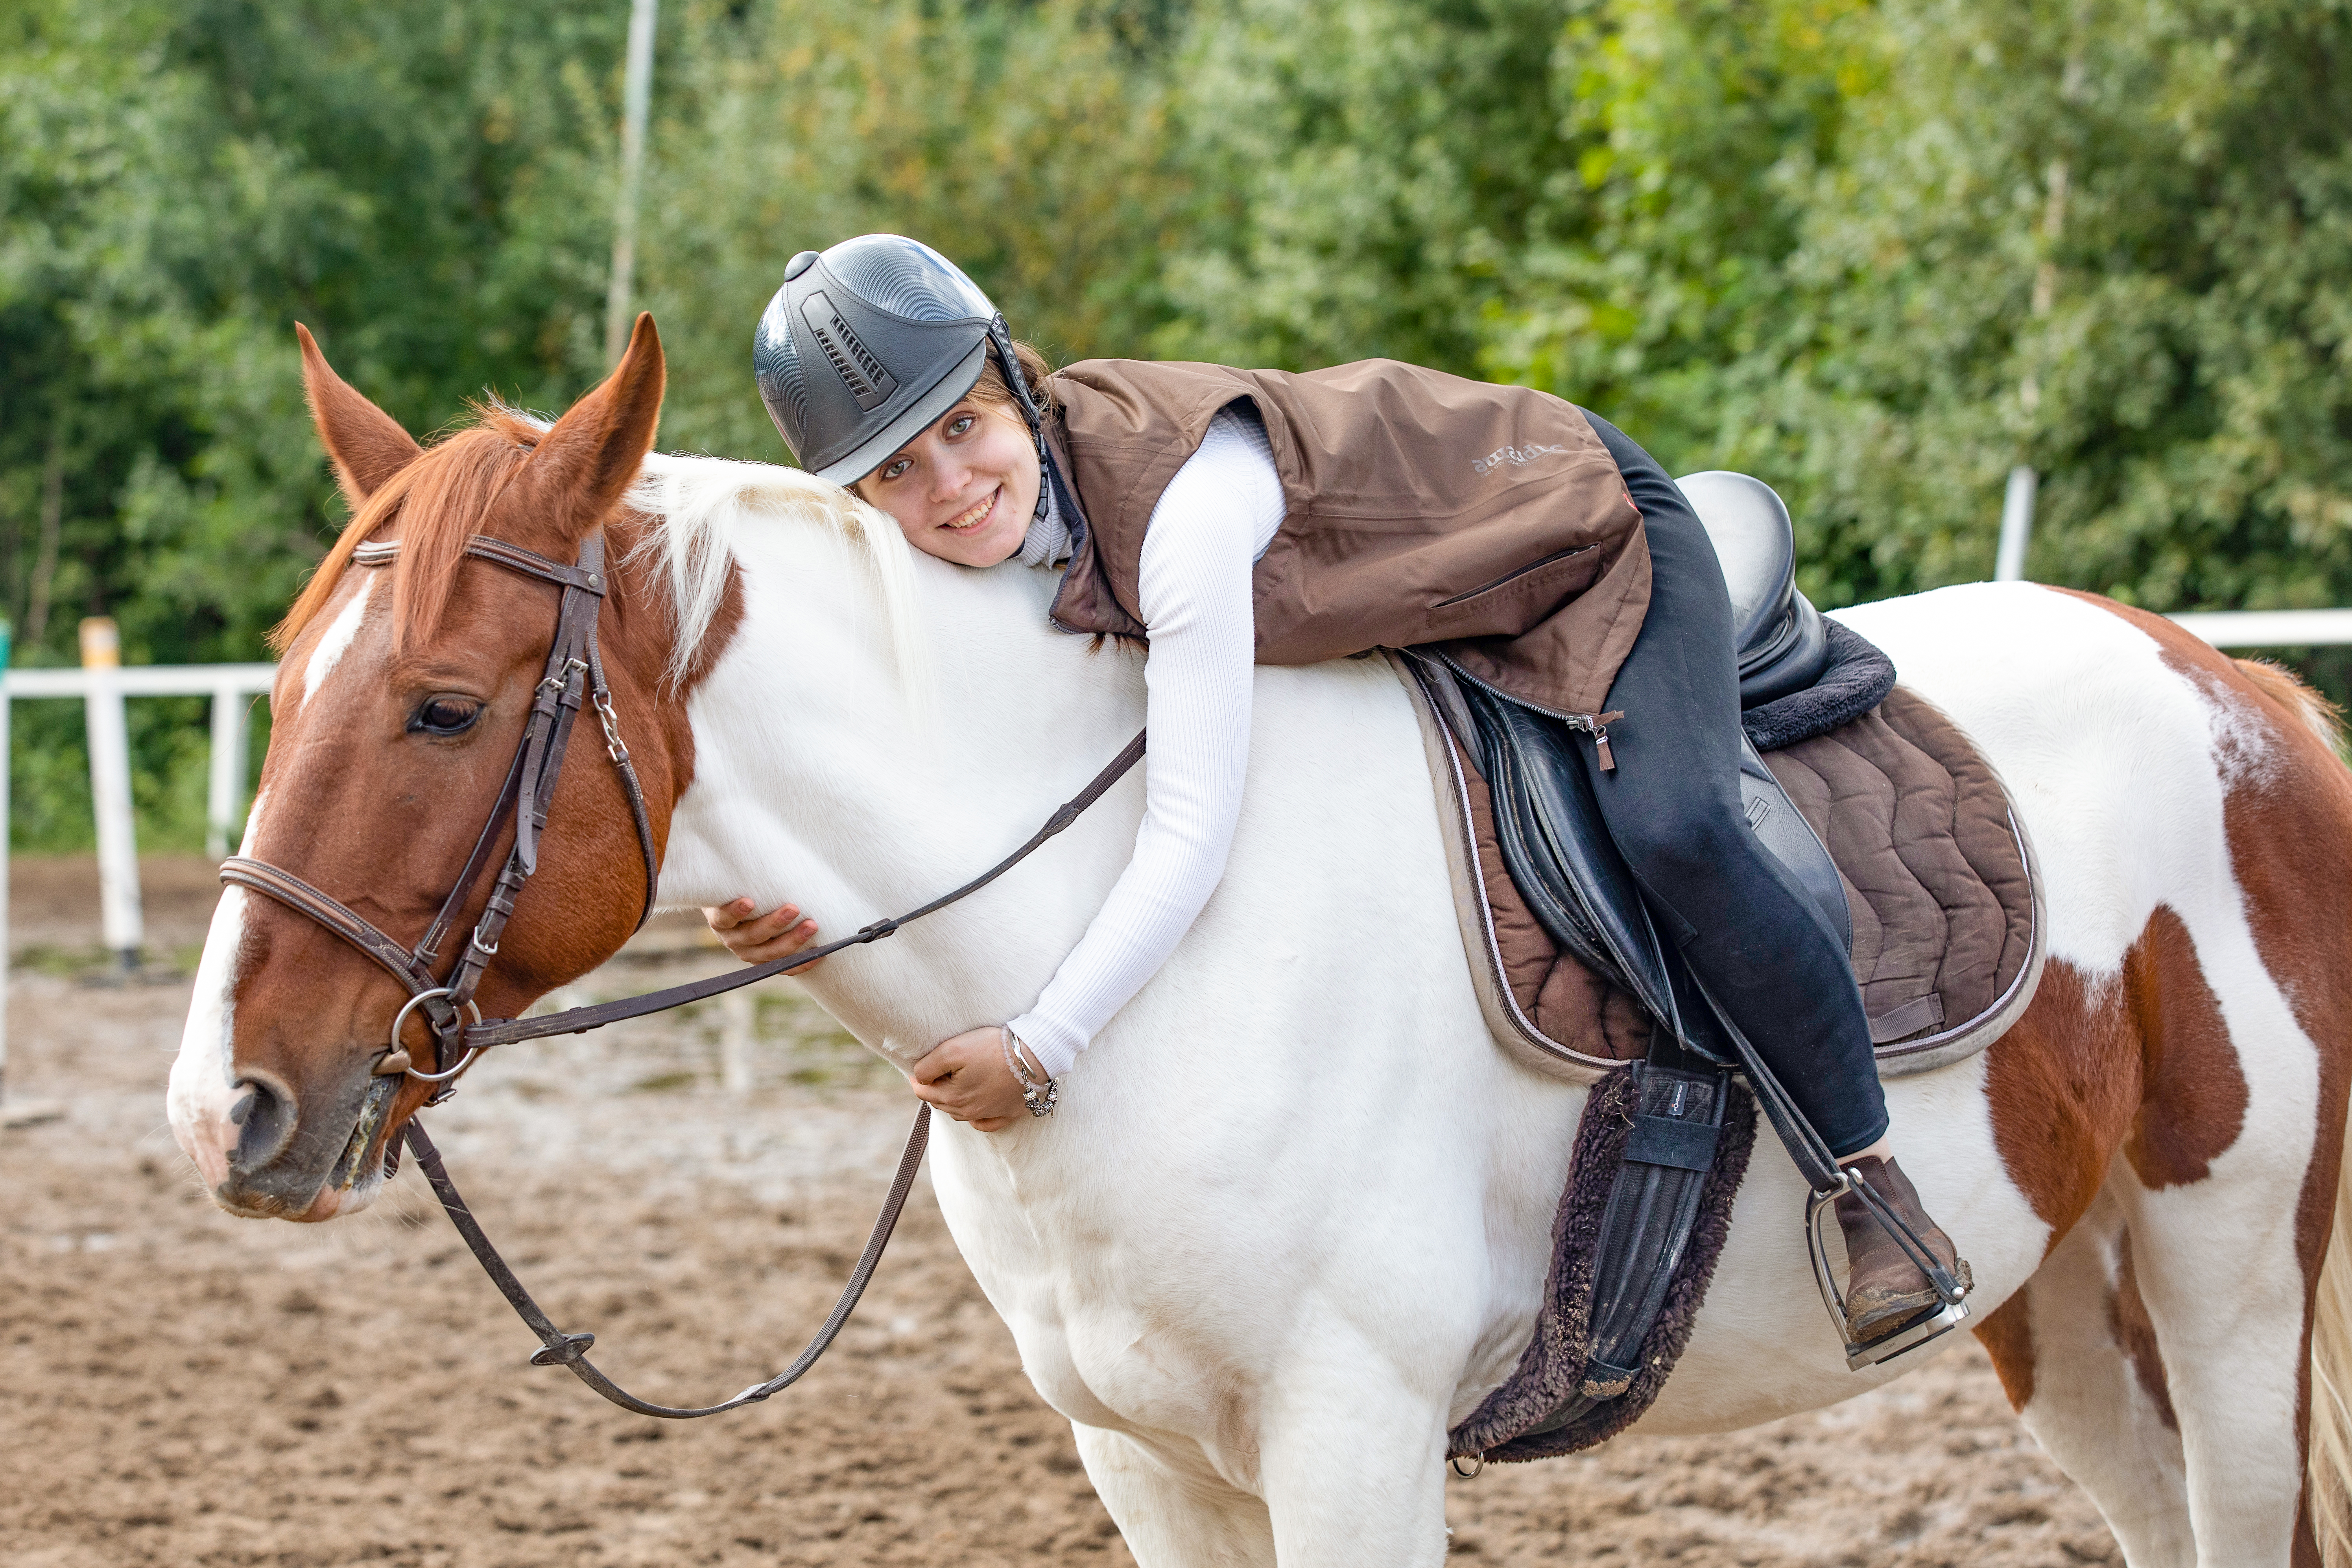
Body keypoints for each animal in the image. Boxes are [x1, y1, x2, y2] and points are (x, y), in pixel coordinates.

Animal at [174, 312, 2352, 1561]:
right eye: (285, 673)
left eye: (443, 705)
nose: (223, 1111)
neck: (1099, 970)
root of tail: (2239, 689)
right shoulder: (1149, 1460)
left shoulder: (1349, 1442)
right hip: (2059, 1295)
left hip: (2226, 1273)